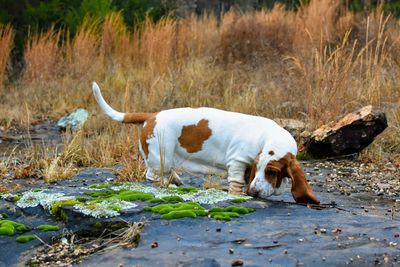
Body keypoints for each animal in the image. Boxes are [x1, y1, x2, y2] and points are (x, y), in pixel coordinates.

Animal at [93, 82, 318, 205]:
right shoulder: (237, 162)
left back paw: (176, 181)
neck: (268, 137)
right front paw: (240, 195)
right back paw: (169, 185)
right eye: (264, 169)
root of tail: (151, 116)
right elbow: (237, 182)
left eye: (272, 172)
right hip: (160, 156)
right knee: (153, 177)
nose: (254, 193)